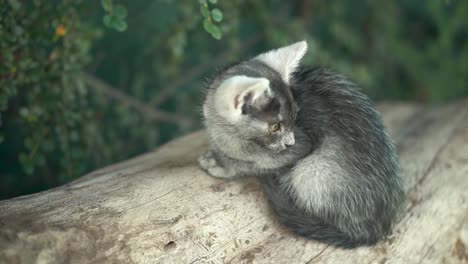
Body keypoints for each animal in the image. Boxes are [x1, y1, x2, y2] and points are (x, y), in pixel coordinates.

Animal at [197, 40, 402, 248]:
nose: (290, 141)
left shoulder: (302, 146)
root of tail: (378, 227)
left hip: (311, 169)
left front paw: (221, 164)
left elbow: (254, 164)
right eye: (275, 127)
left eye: (295, 117)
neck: (230, 138)